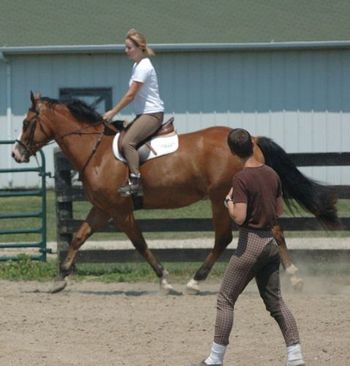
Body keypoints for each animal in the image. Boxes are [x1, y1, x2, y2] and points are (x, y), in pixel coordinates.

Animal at [12, 93, 338, 294]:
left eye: (27, 123)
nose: (16, 153)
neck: (97, 150)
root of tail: (251, 138)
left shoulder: (120, 210)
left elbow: (140, 243)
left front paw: (165, 280)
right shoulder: (103, 209)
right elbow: (79, 237)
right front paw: (61, 278)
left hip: (221, 198)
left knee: (225, 237)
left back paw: (196, 281)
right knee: (274, 229)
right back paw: (293, 276)